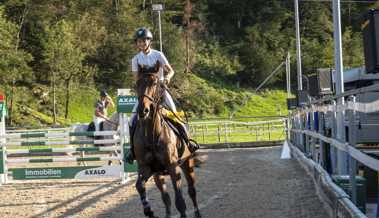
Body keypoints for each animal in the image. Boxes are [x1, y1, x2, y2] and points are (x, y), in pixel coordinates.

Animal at [133, 63, 202, 218]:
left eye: (155, 83)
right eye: (136, 84)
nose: (143, 110)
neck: (152, 135)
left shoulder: (173, 167)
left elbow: (180, 201)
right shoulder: (146, 168)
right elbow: (140, 186)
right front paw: (149, 210)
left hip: (187, 164)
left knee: (192, 191)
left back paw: (197, 213)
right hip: (158, 174)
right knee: (166, 197)